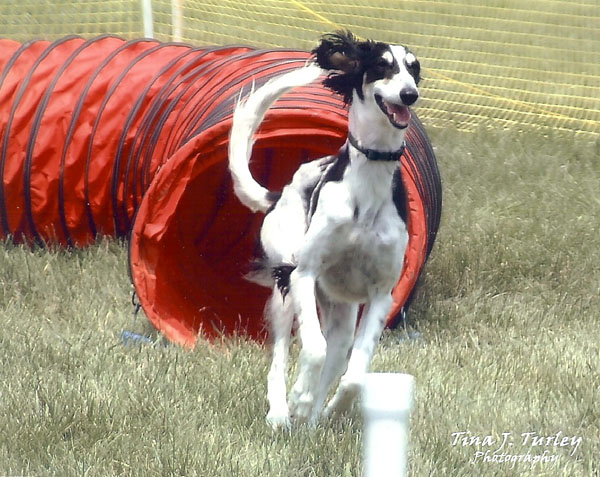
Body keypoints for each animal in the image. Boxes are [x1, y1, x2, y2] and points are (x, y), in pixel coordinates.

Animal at [229, 31, 422, 430]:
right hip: (285, 286)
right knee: (280, 361)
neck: (367, 187)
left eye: (414, 69)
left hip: (342, 313)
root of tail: (278, 194)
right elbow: (313, 350)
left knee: (336, 355)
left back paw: (313, 421)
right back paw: (281, 413)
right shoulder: (304, 273)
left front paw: (329, 409)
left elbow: (354, 375)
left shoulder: (382, 295)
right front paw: (299, 400)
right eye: (382, 65)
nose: (409, 94)